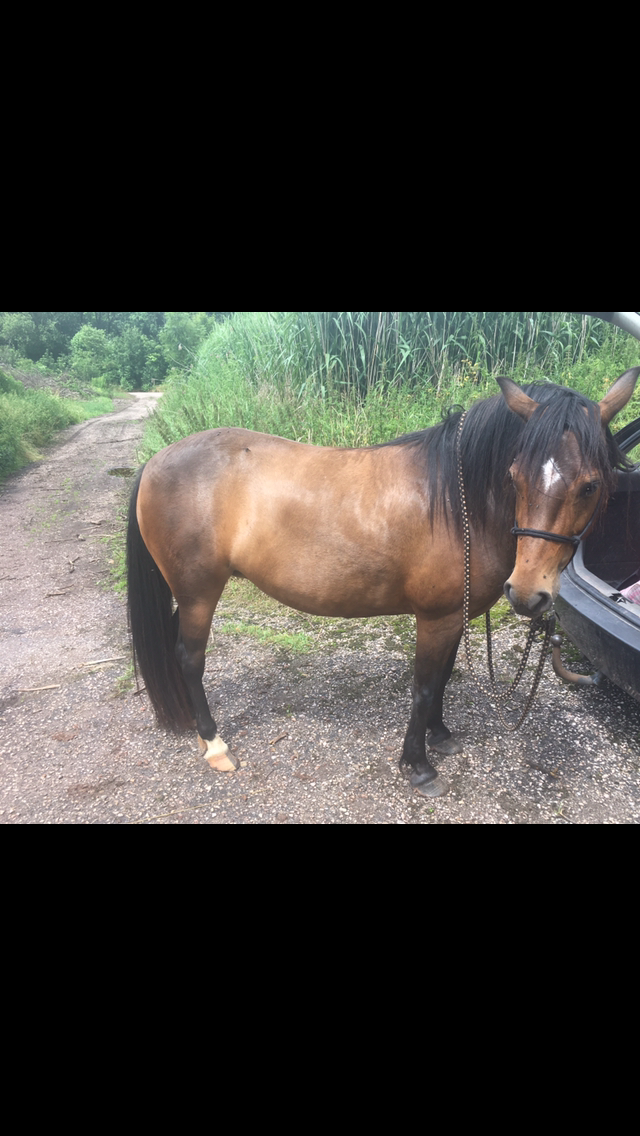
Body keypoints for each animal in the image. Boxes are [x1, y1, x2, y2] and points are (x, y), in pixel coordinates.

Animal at [126, 367, 639, 798]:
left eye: (591, 485)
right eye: (515, 476)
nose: (529, 593)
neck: (458, 502)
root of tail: (154, 462)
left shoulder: (453, 616)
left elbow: (443, 677)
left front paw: (441, 736)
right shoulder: (435, 618)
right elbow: (425, 686)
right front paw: (418, 765)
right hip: (200, 593)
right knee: (189, 658)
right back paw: (214, 745)